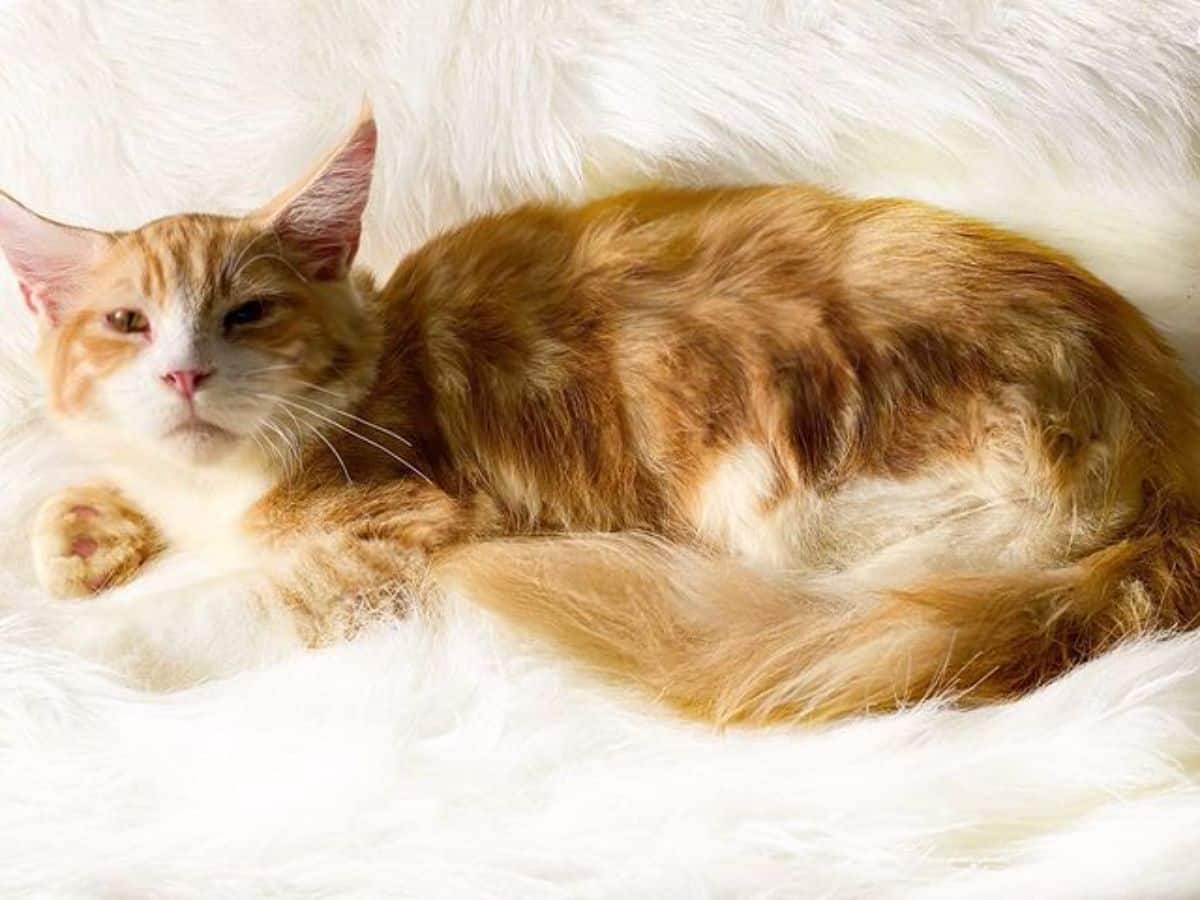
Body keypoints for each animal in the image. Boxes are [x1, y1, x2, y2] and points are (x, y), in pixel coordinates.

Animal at [2, 105, 1200, 724]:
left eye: (247, 313)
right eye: (126, 323)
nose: (184, 376)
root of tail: (1168, 442)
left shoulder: (413, 535)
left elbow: (219, 606)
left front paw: (83, 642)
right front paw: (84, 532)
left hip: (792, 473)